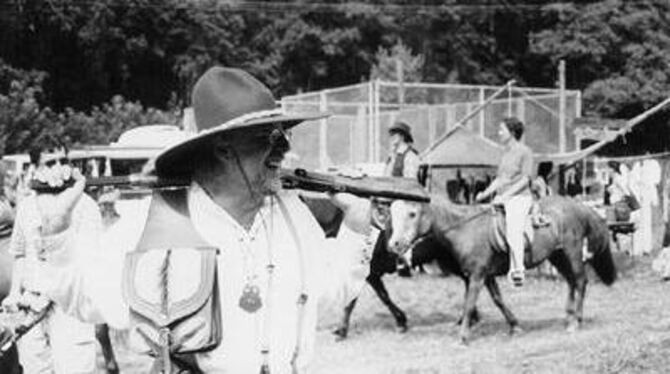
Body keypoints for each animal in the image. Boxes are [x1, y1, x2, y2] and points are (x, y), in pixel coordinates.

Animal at [388, 194, 620, 344]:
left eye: (412, 213)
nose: (394, 244)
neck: (465, 228)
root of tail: (582, 207)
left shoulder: (477, 275)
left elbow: (469, 304)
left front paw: (463, 336)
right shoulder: (486, 276)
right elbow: (498, 300)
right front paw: (514, 325)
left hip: (572, 252)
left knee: (580, 281)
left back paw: (576, 322)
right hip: (557, 256)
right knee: (571, 281)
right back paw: (568, 316)